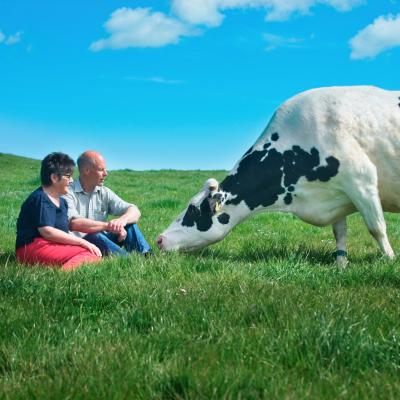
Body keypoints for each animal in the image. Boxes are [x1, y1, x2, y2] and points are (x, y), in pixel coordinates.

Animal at [156, 86, 400, 264]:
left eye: (194, 210)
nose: (159, 239)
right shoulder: (336, 195)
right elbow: (340, 233)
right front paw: (341, 265)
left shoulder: (362, 181)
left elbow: (377, 228)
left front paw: (389, 261)